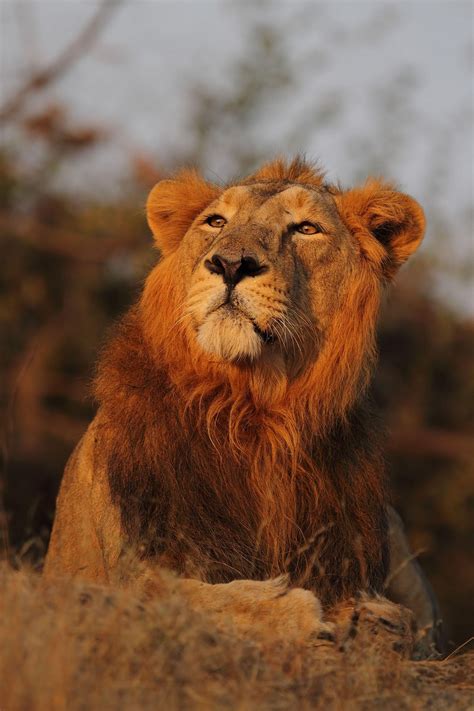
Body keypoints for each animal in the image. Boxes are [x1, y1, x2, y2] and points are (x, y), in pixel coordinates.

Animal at [43, 159, 440, 652]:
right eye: (216, 222)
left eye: (306, 228)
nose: (230, 263)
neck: (253, 409)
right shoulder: (111, 568)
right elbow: (169, 593)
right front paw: (292, 609)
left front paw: (367, 616)